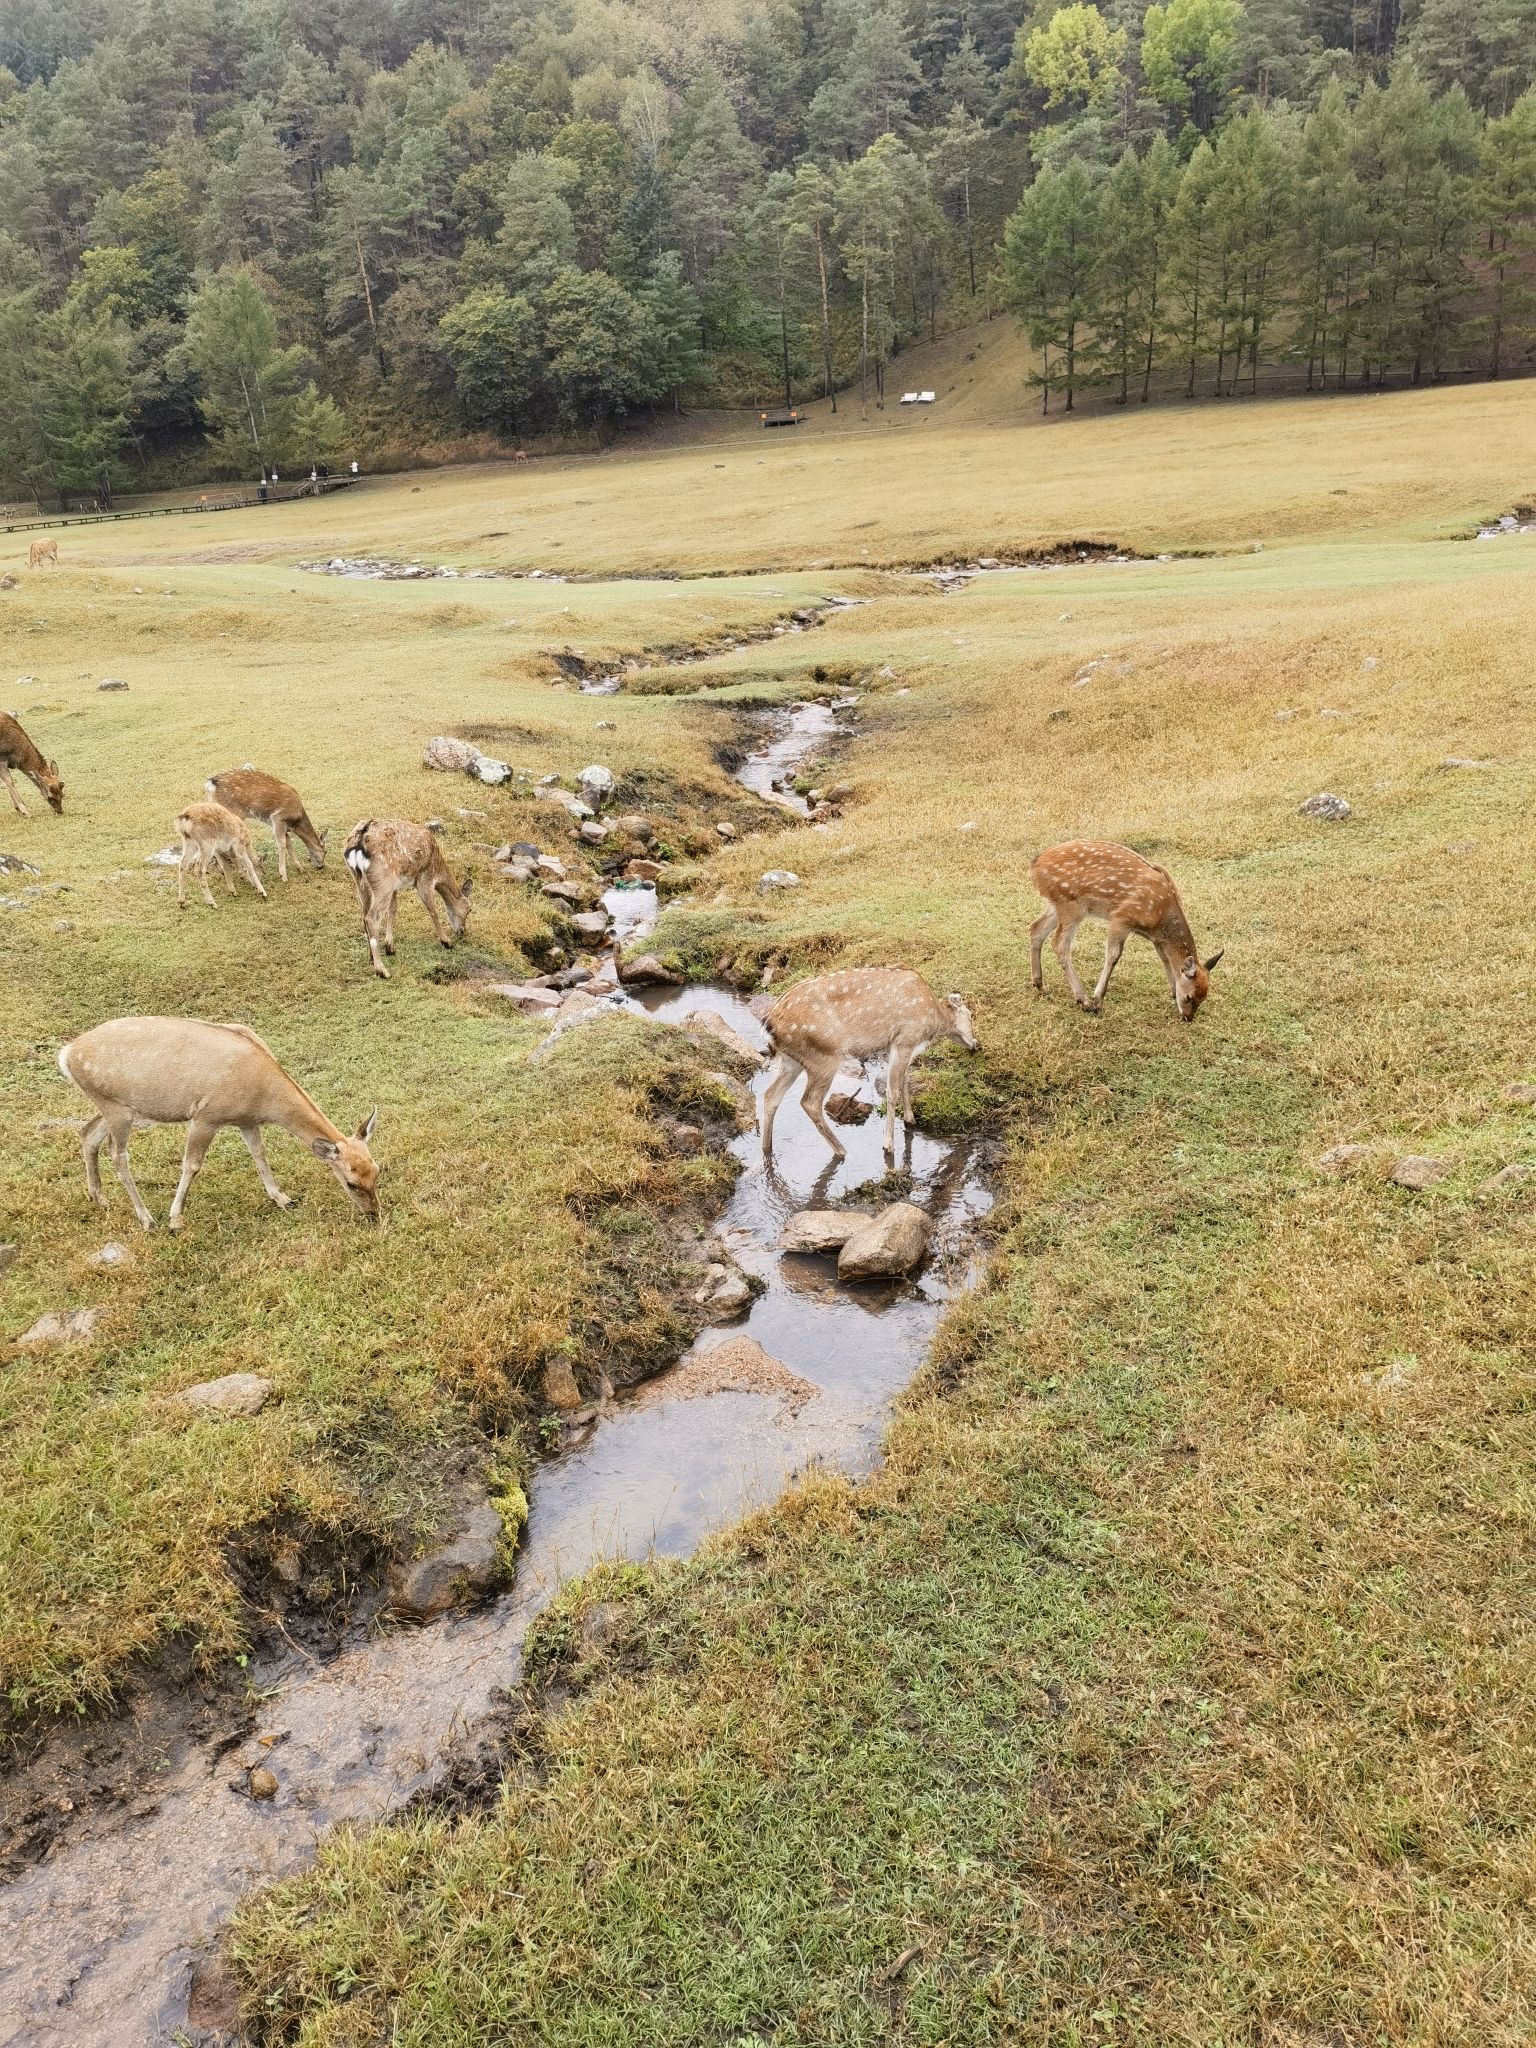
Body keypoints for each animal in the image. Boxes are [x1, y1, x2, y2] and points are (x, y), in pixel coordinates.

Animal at [58, 1016, 380, 1232]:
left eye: (377, 1171)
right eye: (351, 1183)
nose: (373, 1214)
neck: (263, 1096)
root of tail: (66, 1055)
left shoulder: (246, 1120)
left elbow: (259, 1154)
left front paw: (283, 1199)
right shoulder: (207, 1116)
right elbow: (192, 1165)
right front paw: (176, 1219)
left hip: (114, 1107)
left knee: (87, 1133)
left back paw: (99, 1198)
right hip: (117, 1110)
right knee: (117, 1154)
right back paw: (147, 1219)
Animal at [344, 818, 472, 979]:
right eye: (469, 909)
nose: (462, 931)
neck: (437, 865)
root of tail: (358, 841)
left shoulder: (395, 887)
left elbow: (393, 910)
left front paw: (390, 948)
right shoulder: (424, 878)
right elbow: (433, 910)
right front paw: (446, 942)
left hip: (361, 881)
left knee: (364, 915)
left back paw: (372, 957)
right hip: (383, 880)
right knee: (371, 918)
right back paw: (382, 971)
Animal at [760, 968, 978, 1162]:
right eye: (970, 1015)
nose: (976, 1044)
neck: (931, 1022)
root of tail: (769, 1024)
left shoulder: (896, 1048)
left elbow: (905, 1081)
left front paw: (910, 1120)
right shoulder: (905, 1039)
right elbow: (893, 1091)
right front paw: (888, 1145)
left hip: (791, 1061)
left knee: (771, 1095)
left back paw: (767, 1148)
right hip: (823, 1058)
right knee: (810, 1103)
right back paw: (841, 1150)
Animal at [1029, 840, 1222, 1022]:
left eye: (1203, 998)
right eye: (1189, 997)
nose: (1188, 1018)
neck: (1160, 917)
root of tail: (1036, 864)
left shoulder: (1157, 939)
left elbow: (1165, 959)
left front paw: (1173, 993)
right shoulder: (1121, 918)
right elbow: (1114, 955)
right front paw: (1097, 1001)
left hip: (1057, 904)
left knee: (1035, 928)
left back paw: (1040, 986)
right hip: (1070, 903)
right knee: (1059, 943)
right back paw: (1083, 1001)